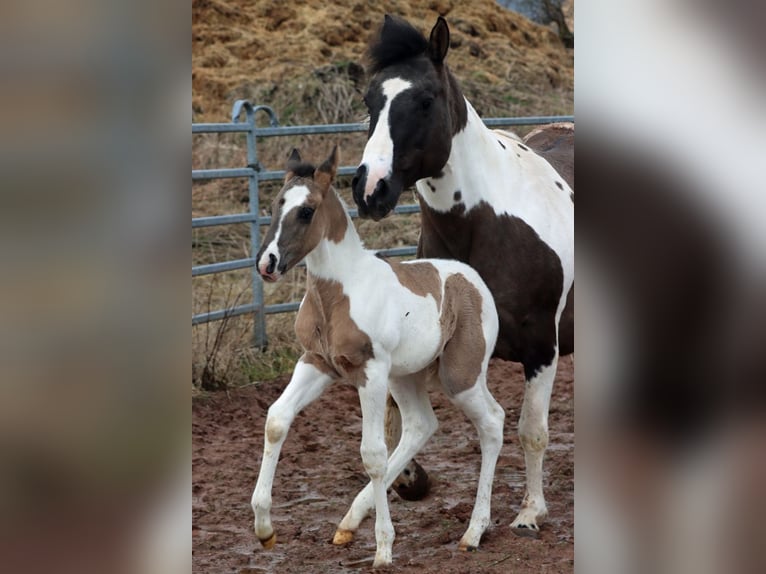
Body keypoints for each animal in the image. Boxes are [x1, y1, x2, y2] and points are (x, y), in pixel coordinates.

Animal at [249, 146, 508, 568]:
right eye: (275, 205)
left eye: (306, 212)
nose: (267, 264)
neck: (339, 292)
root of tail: (473, 279)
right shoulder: (315, 363)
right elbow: (276, 420)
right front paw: (264, 529)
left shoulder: (369, 371)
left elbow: (371, 454)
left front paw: (384, 550)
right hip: (405, 376)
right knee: (421, 425)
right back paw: (349, 522)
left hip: (461, 376)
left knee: (492, 422)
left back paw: (473, 532)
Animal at [352, 15, 572, 536]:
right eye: (370, 101)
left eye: (425, 100)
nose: (370, 188)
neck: (488, 223)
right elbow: (400, 419)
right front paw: (406, 482)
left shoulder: (543, 346)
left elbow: (532, 430)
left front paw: (530, 511)